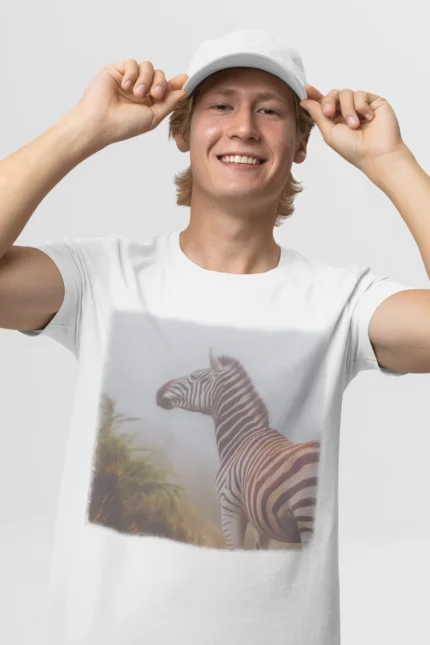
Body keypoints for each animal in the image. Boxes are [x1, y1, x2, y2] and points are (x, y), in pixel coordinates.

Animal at [156, 349, 320, 550]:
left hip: (306, 515)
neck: (242, 439)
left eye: (194, 376)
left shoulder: (230, 508)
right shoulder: (261, 524)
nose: (159, 391)